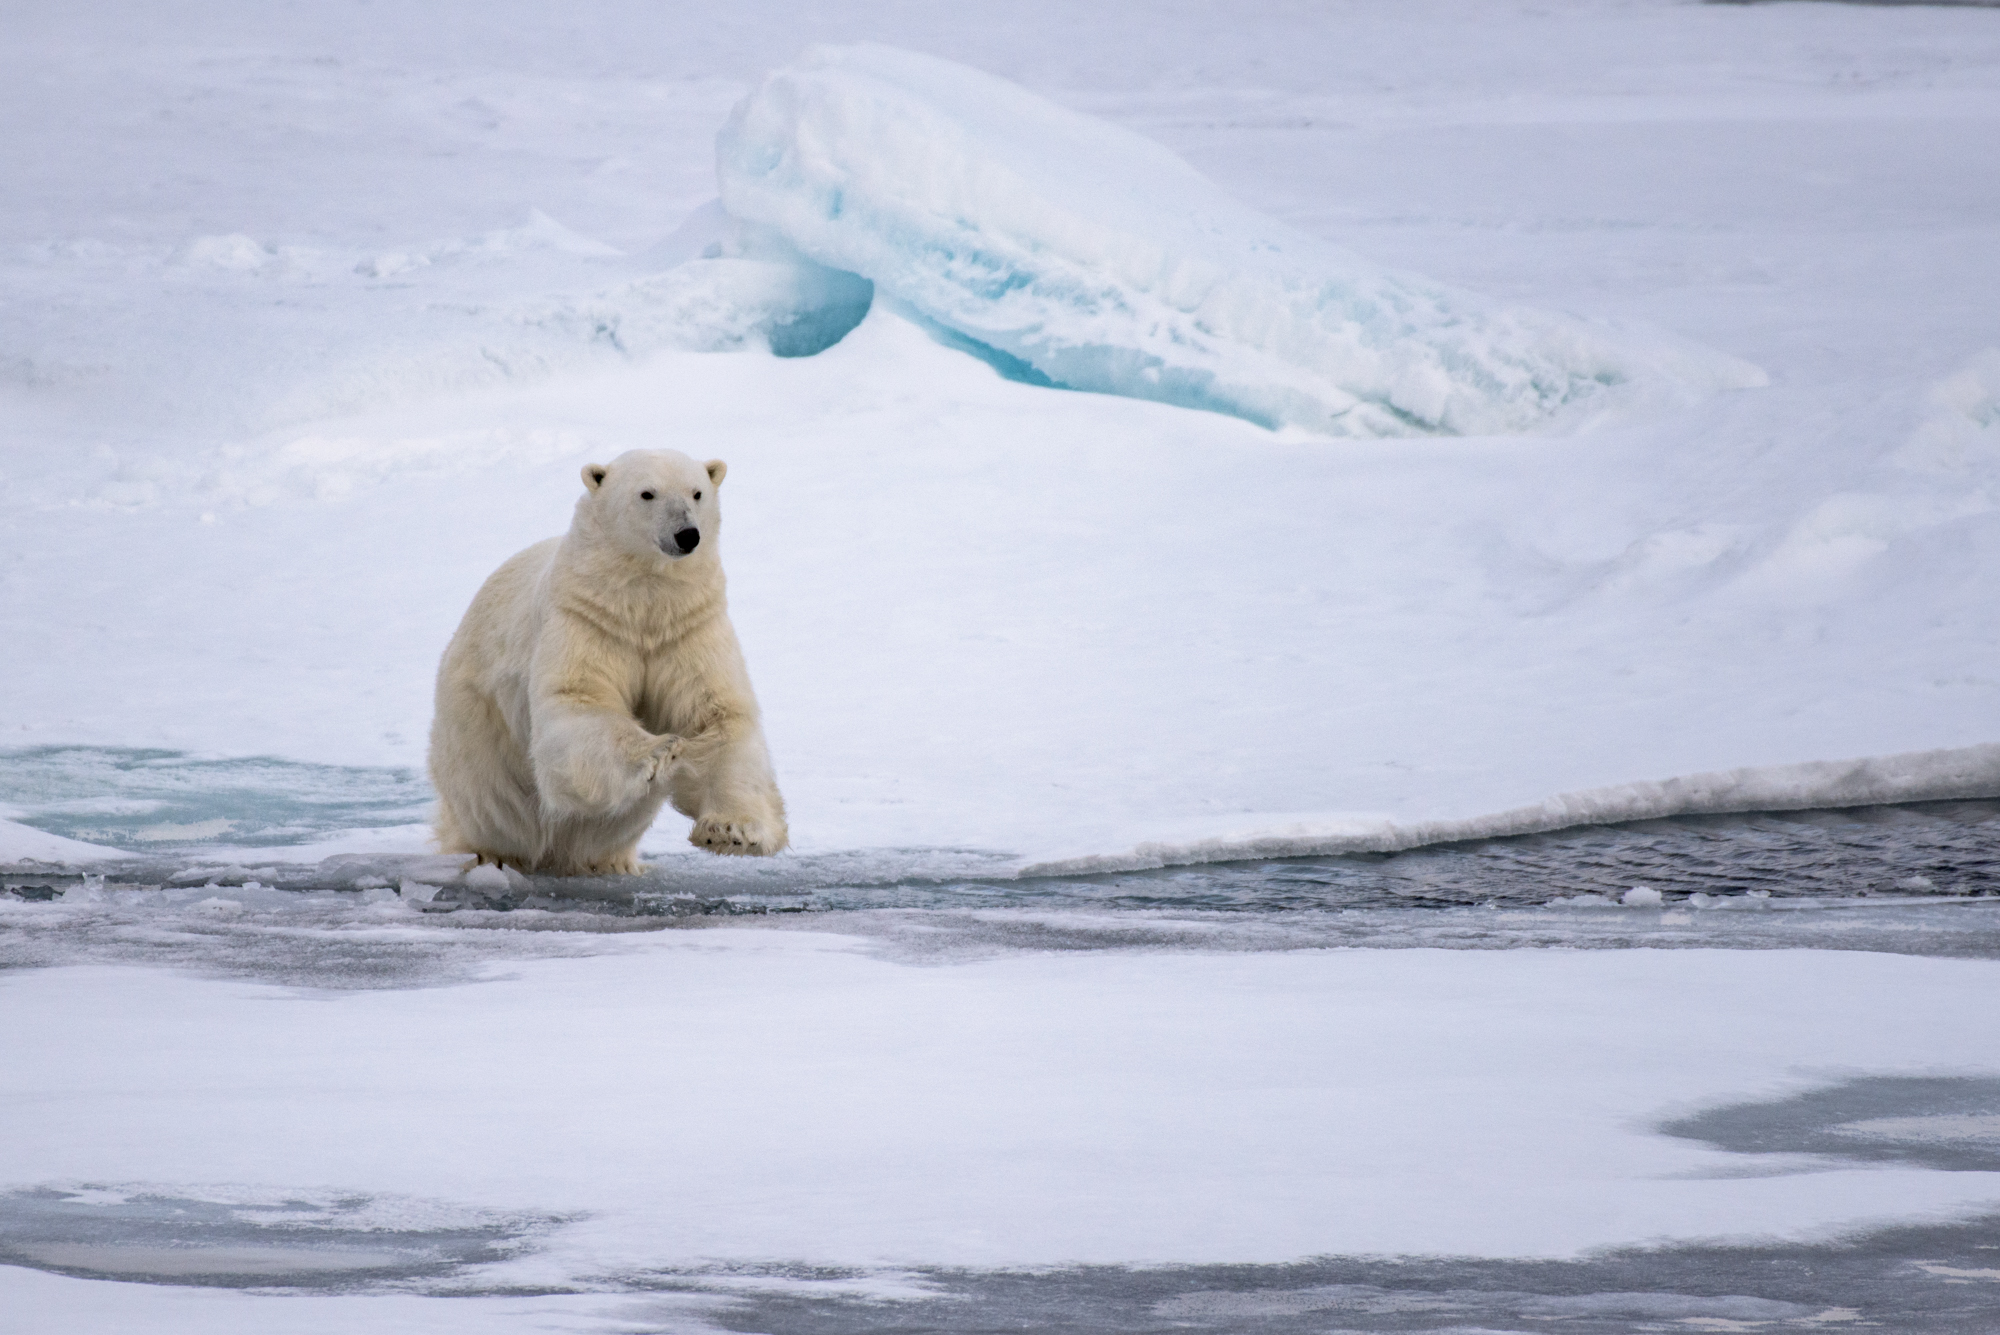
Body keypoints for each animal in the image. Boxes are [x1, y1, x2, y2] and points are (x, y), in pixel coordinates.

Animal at [427, 448, 788, 875]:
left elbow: (716, 716)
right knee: (493, 805)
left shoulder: (688, 627)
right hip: (476, 723)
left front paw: (733, 831)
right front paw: (659, 750)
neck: (643, 603)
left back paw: (610, 862)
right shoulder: (589, 618)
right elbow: (581, 700)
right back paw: (490, 854)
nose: (687, 535)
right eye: (647, 493)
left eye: (697, 492)